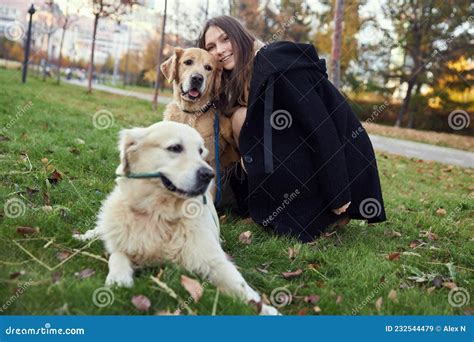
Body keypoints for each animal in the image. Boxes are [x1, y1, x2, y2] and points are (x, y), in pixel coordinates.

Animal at [74, 122, 278, 316]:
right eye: (175, 148)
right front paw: (118, 279)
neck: (160, 214)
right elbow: (117, 257)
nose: (209, 174)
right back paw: (83, 236)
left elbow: (241, 285)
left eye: (200, 151)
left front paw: (265, 308)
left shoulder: (215, 261)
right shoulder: (124, 245)